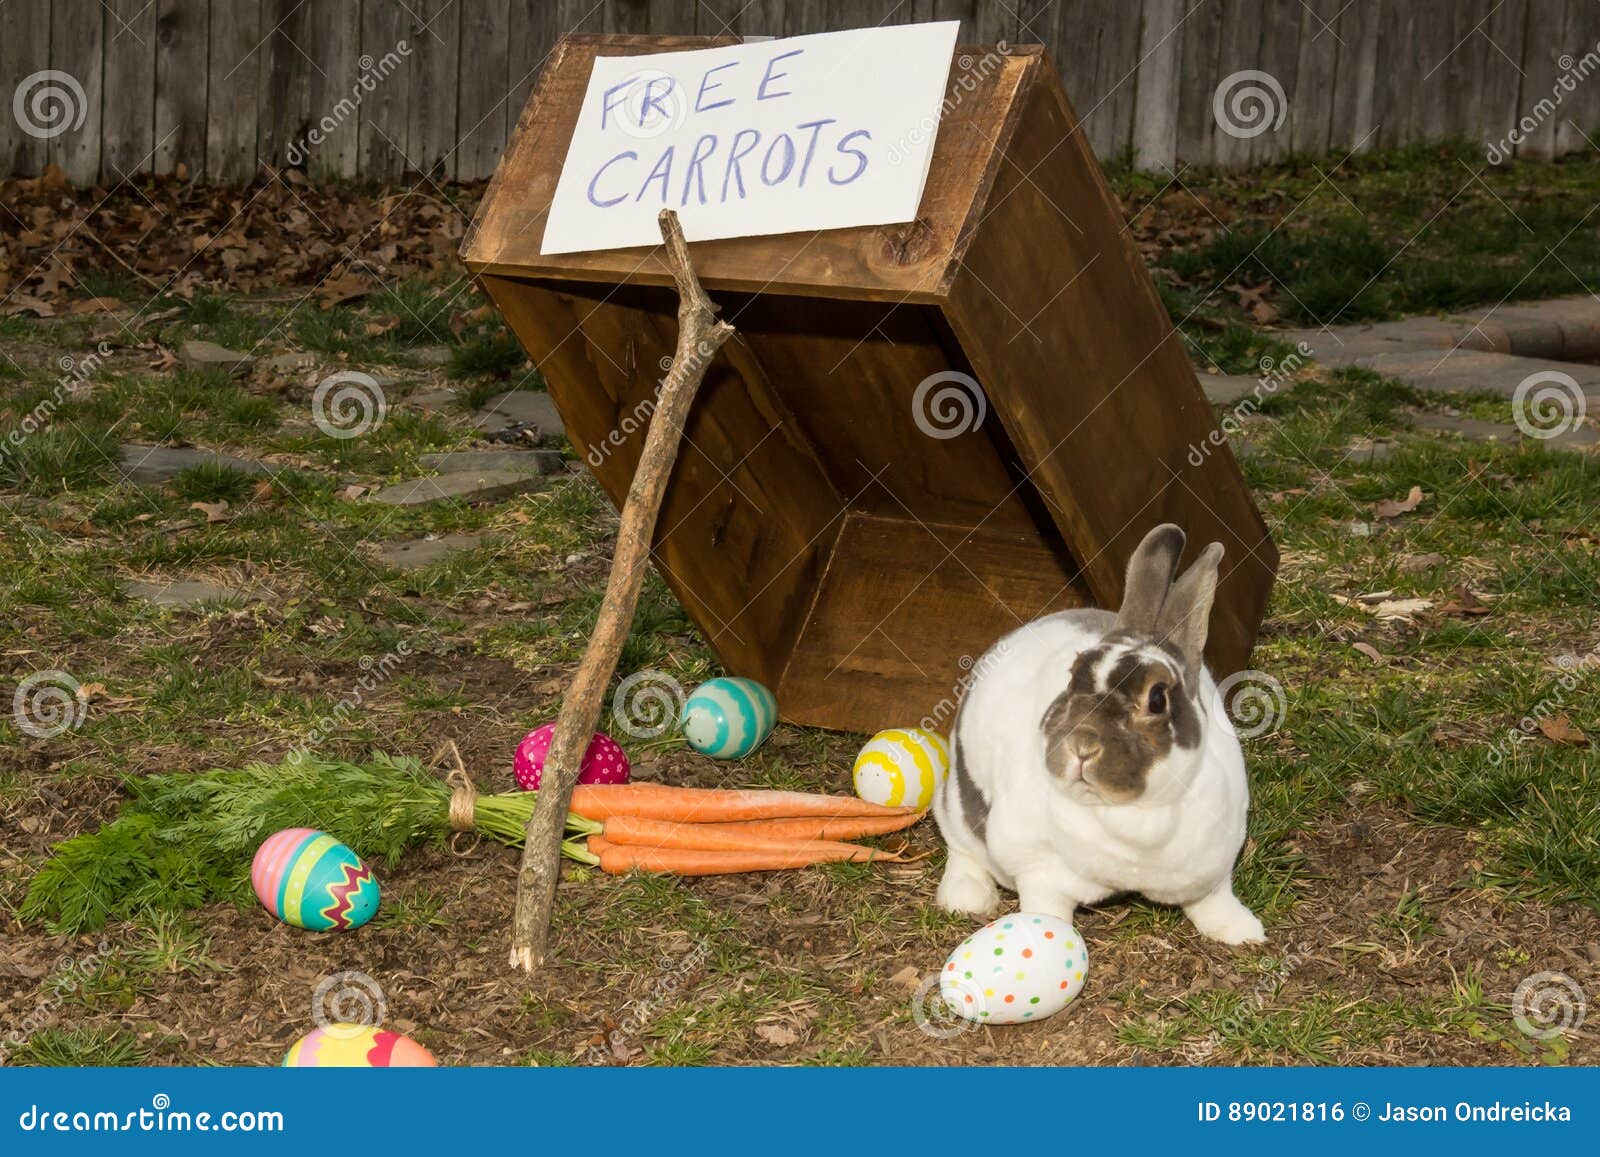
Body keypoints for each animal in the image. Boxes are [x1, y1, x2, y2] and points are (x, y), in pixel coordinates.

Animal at [932, 522, 1265, 945]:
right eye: (1074, 676)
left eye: (1157, 699)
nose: (1082, 746)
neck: (1132, 814)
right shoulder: (1040, 871)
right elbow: (1045, 909)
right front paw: (1043, 939)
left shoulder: (1211, 868)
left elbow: (1214, 902)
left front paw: (1245, 932)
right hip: (957, 806)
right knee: (959, 844)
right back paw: (967, 897)